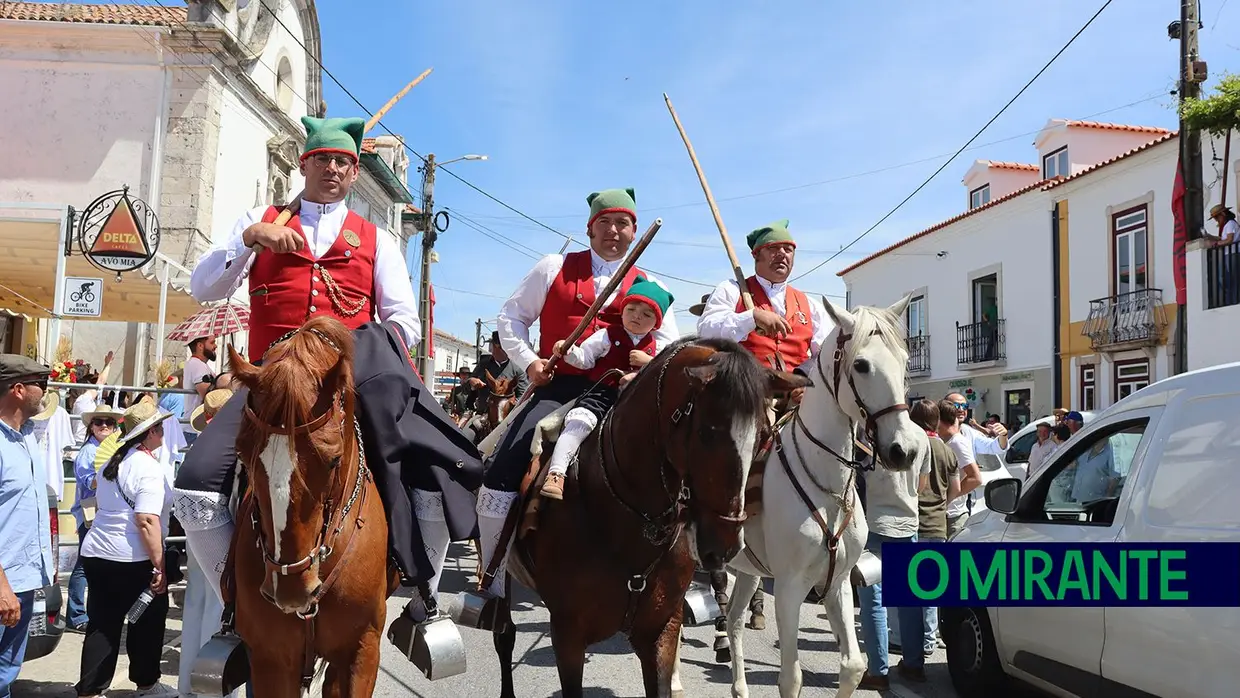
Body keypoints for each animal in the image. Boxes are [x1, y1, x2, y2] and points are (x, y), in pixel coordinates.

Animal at [488, 334, 808, 694]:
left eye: (763, 437)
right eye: (706, 432)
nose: (725, 545)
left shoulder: (660, 631)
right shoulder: (567, 634)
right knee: (504, 636)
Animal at [714, 298, 927, 698]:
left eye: (905, 359)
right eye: (861, 365)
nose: (904, 450)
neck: (828, 489)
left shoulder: (838, 582)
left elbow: (854, 667)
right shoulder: (789, 588)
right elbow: (791, 677)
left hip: (748, 570)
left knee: (733, 619)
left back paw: (739, 686)